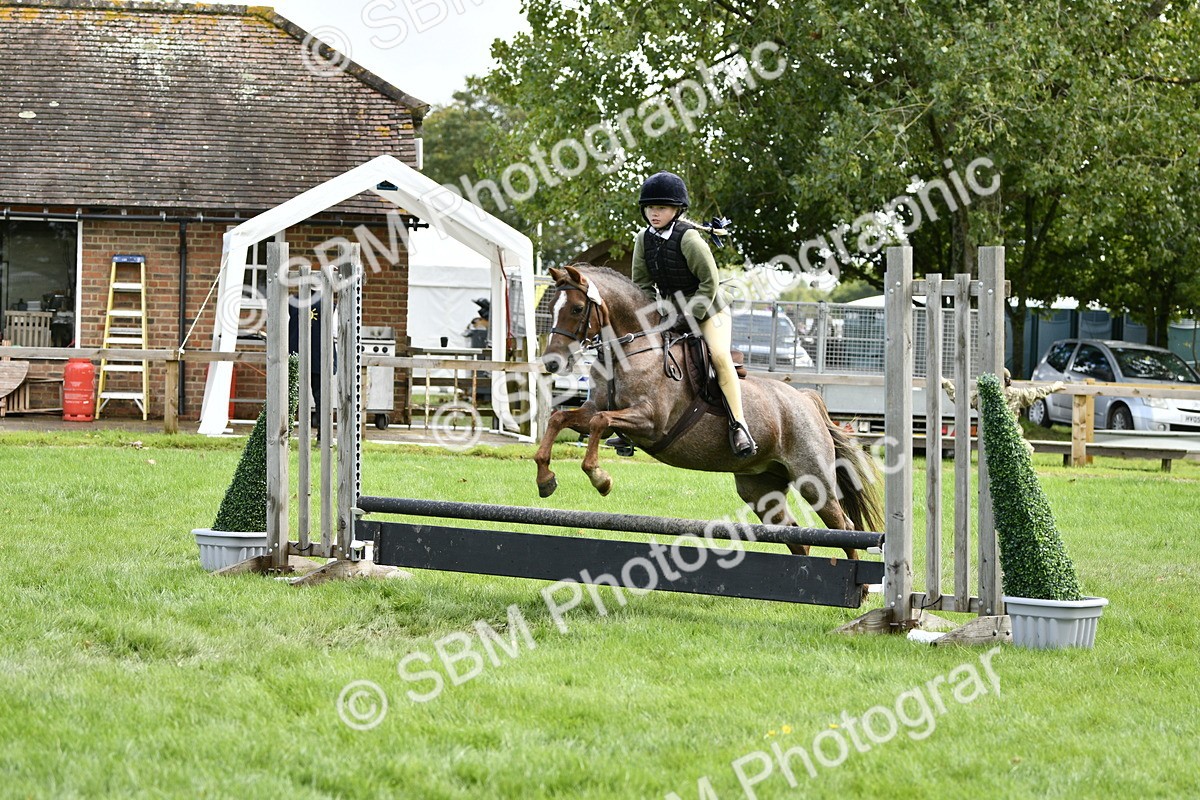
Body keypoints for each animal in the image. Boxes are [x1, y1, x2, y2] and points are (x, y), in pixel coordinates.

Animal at [533, 264, 884, 560]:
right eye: (551, 308)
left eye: (577, 308)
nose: (551, 362)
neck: (631, 351)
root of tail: (807, 400)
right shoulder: (597, 411)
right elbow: (563, 418)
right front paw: (545, 479)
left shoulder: (650, 422)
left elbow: (598, 421)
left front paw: (600, 478)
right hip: (759, 487)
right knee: (796, 536)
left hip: (814, 480)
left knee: (844, 529)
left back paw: (860, 590)